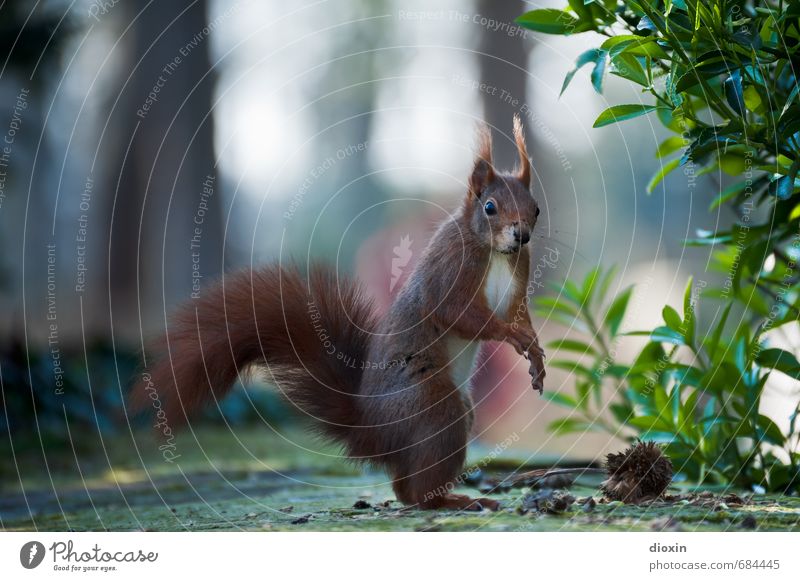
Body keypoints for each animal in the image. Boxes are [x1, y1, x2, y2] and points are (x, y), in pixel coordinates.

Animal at [136, 115, 544, 510]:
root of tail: (374, 432)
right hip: (433, 406)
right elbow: (458, 313)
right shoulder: (451, 270)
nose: (521, 235)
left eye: (536, 208)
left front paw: (536, 354)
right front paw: (512, 337)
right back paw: (453, 500)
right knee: (414, 492)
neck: (495, 252)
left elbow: (516, 313)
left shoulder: (517, 278)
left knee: (404, 485)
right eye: (489, 208)